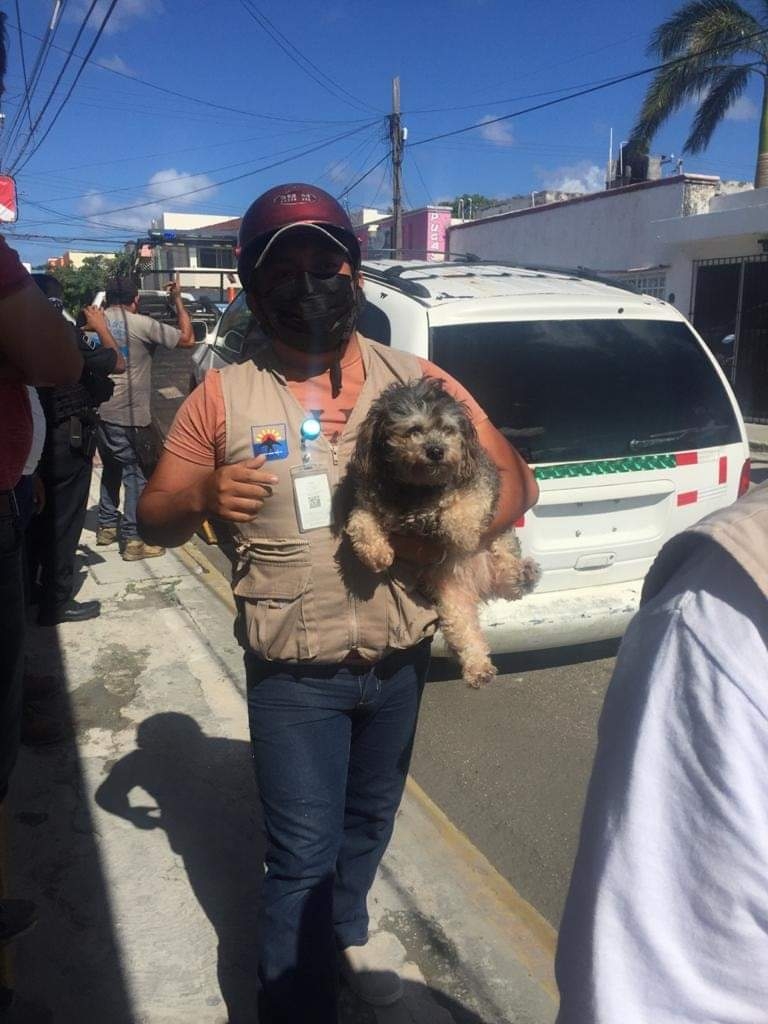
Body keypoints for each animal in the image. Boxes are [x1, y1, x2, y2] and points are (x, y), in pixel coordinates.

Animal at [348, 378, 540, 688]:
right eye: (414, 429)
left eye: (449, 429)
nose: (436, 450)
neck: (419, 488)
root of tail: (478, 585)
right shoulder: (370, 502)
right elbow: (359, 521)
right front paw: (376, 553)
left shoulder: (480, 482)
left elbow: (461, 512)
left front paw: (448, 526)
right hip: (452, 603)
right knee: (466, 631)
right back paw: (478, 668)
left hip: (501, 544)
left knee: (509, 581)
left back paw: (524, 573)